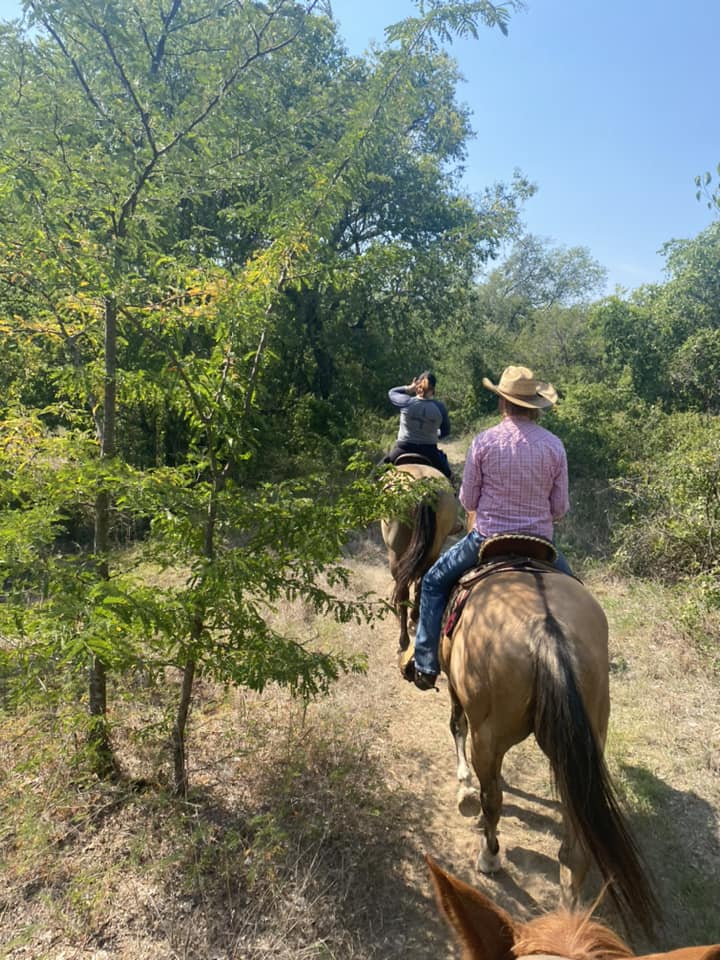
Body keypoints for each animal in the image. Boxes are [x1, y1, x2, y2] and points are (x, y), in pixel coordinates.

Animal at [380, 460, 458, 652]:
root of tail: (423, 490)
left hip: (396, 554)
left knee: (403, 591)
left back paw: (404, 638)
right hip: (433, 548)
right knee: (421, 581)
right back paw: (414, 618)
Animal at [438, 532, 660, 936]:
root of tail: (547, 629)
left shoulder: (458, 694)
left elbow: (456, 726)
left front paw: (463, 785)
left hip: (489, 734)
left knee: (493, 799)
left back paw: (489, 856)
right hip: (580, 743)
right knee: (575, 845)